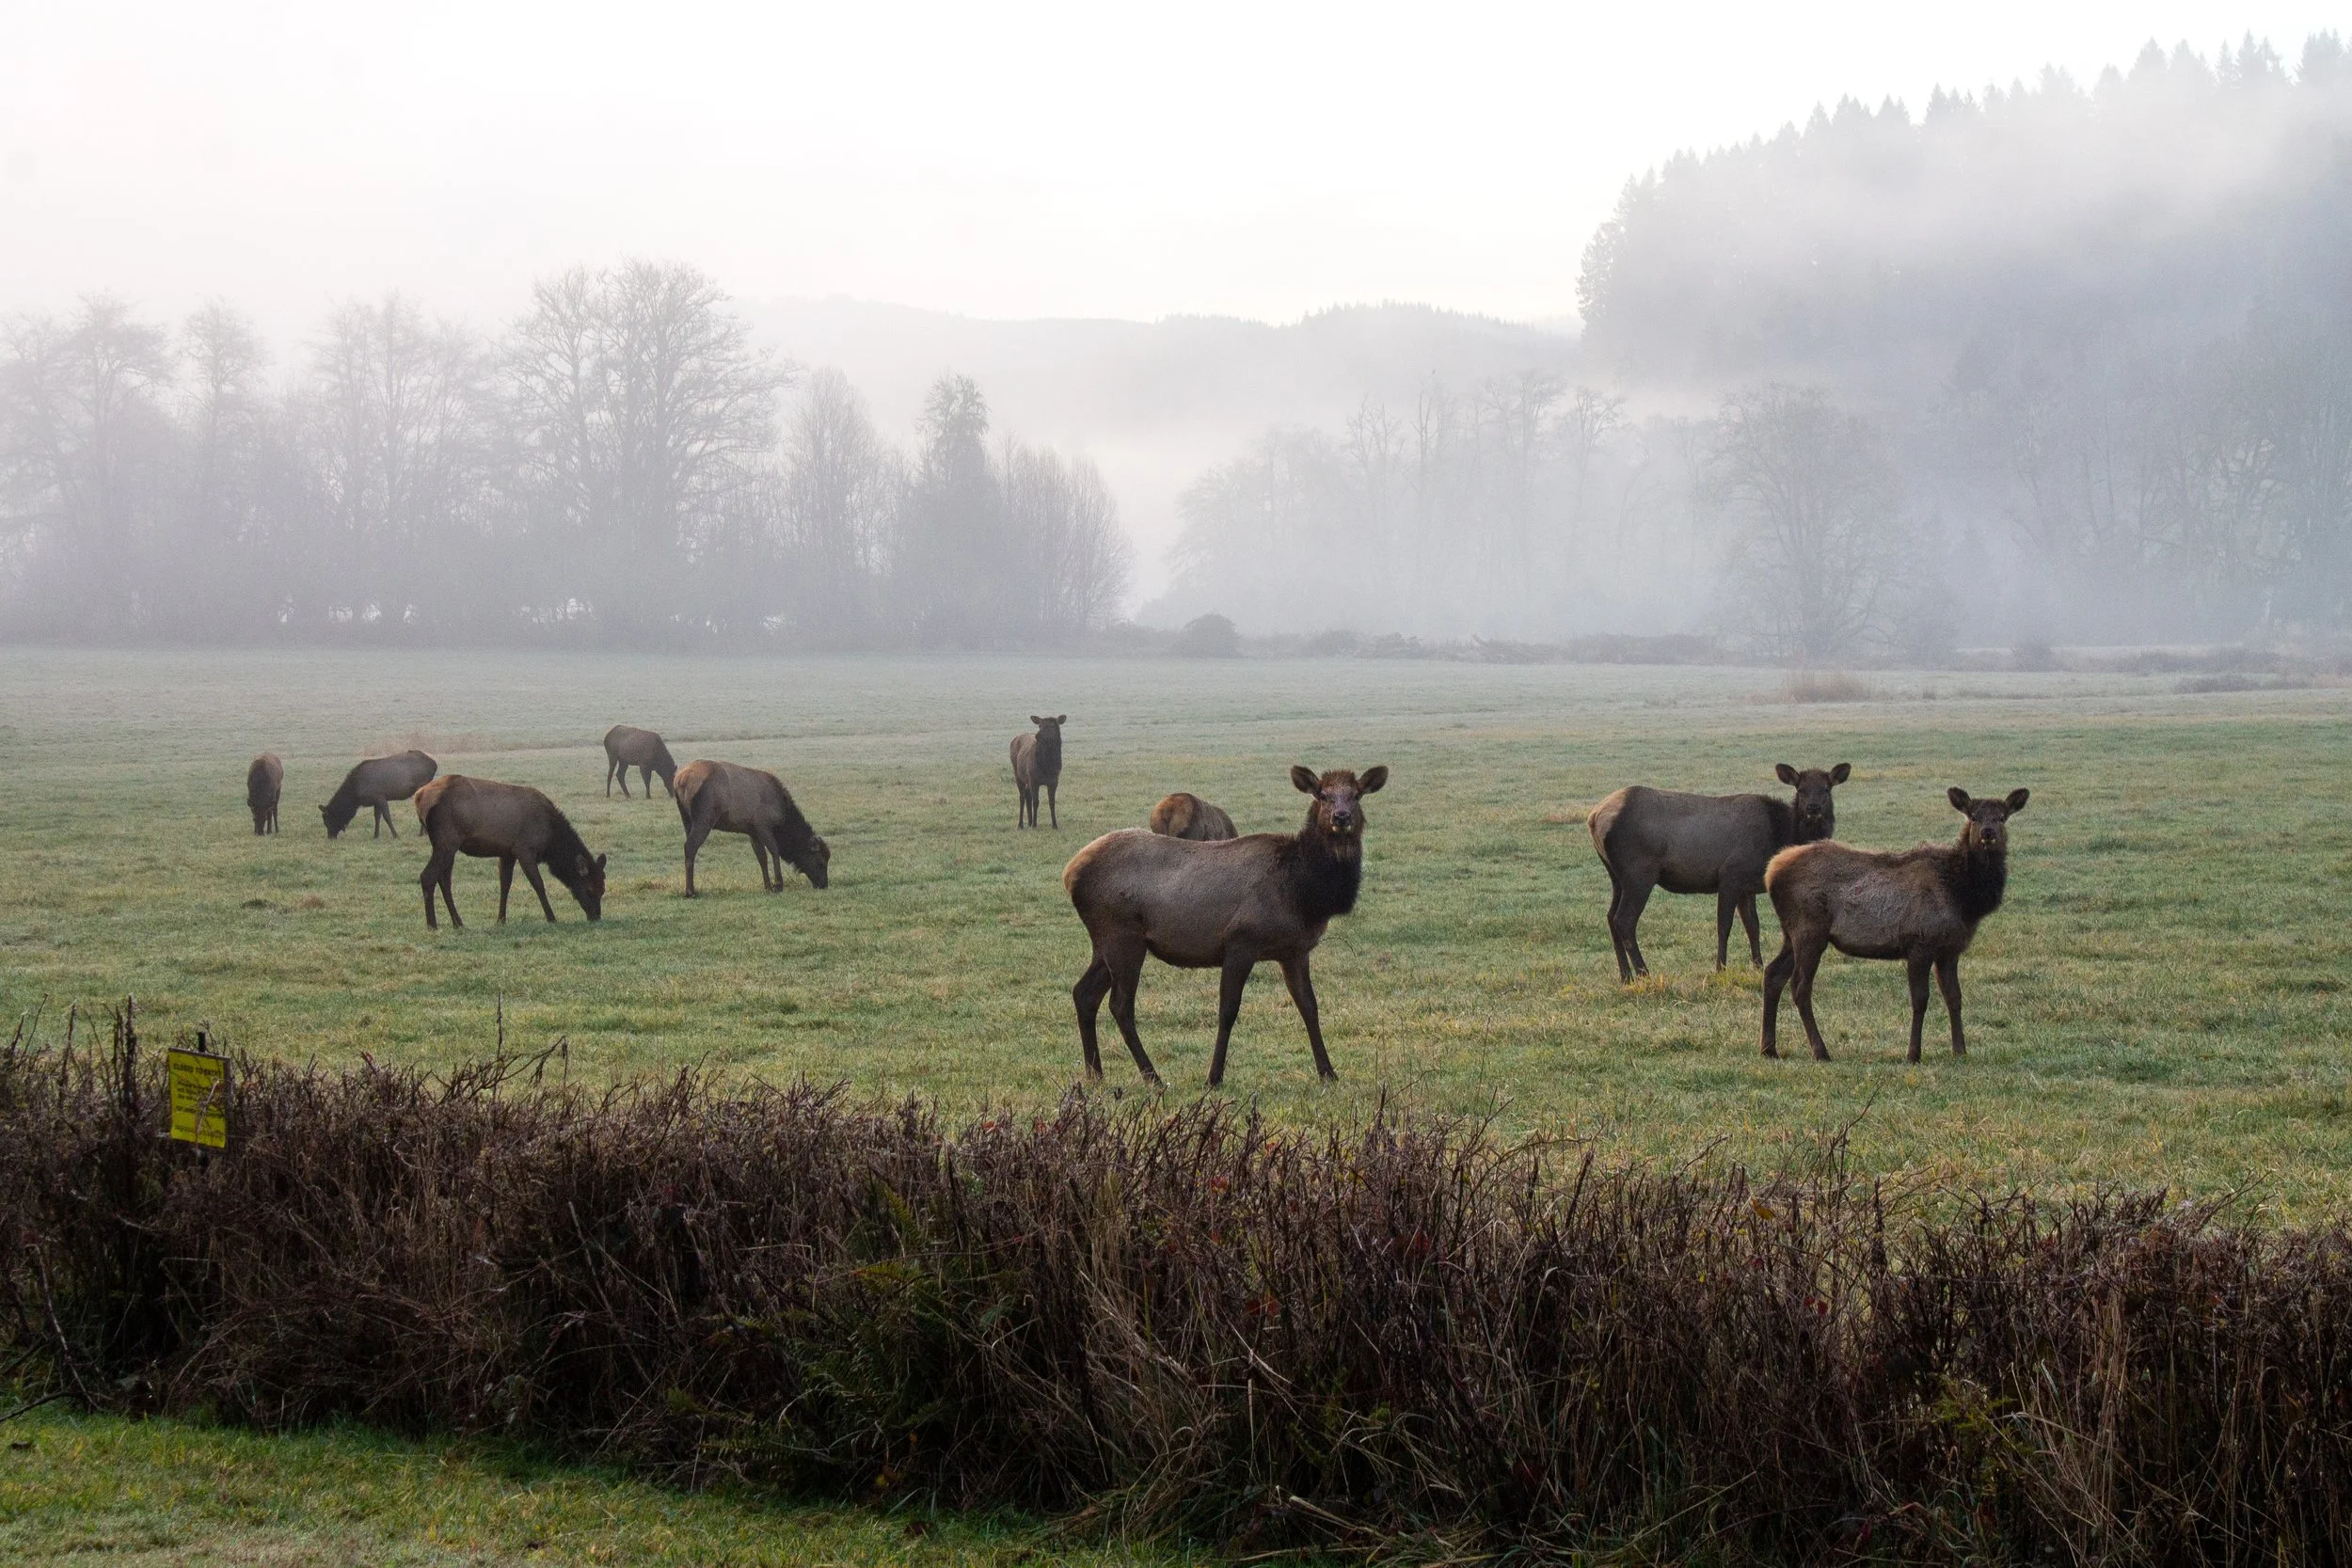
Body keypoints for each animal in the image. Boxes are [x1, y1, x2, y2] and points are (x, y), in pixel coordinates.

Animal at [1063, 764, 1387, 1089]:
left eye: (1356, 795)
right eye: (1323, 795)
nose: (1341, 817)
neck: (1303, 892)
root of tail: (1069, 873)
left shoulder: (1294, 951)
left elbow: (1309, 1006)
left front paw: (1328, 1072)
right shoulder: (1240, 943)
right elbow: (1228, 1010)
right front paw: (1214, 1077)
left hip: (1106, 942)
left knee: (1084, 993)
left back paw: (1095, 1074)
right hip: (1123, 936)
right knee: (1120, 1005)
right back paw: (1152, 1077)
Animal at [1588, 762, 1850, 981]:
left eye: (1826, 789)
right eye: (1801, 789)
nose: (1813, 808)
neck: (1778, 837)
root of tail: (1594, 817)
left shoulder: (1747, 887)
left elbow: (1753, 926)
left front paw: (1758, 966)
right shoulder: (1730, 874)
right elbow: (1724, 925)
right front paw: (1720, 969)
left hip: (1617, 877)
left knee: (1610, 917)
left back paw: (1626, 976)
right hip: (1639, 873)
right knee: (1624, 919)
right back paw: (1644, 973)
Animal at [1761, 787, 2028, 1062]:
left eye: (2002, 817)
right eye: (1973, 817)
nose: (1988, 833)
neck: (1963, 898)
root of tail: (1770, 873)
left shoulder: (1950, 949)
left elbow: (1954, 997)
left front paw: (1960, 1050)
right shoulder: (1920, 942)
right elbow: (1920, 999)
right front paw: (1913, 1054)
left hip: (1791, 933)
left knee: (1773, 974)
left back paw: (1769, 1048)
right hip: (1809, 930)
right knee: (1800, 987)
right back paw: (1820, 1051)